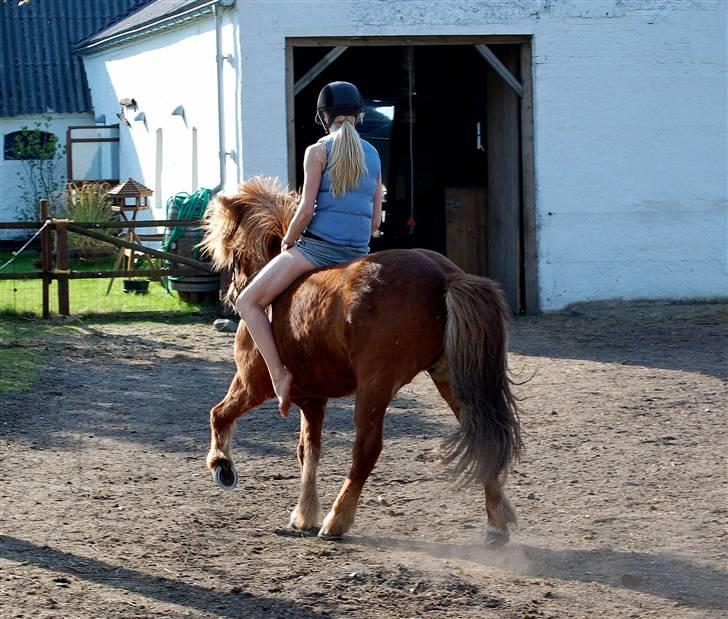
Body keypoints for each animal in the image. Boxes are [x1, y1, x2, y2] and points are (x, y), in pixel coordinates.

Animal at [202, 177, 520, 544]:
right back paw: (496, 523)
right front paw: (304, 513)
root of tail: (444, 276)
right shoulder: (313, 399)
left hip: (375, 386)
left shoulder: (251, 384)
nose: (233, 294)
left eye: (234, 250)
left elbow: (220, 414)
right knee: (483, 437)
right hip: (451, 379)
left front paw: (222, 465)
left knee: (366, 449)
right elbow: (307, 450)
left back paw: (336, 521)